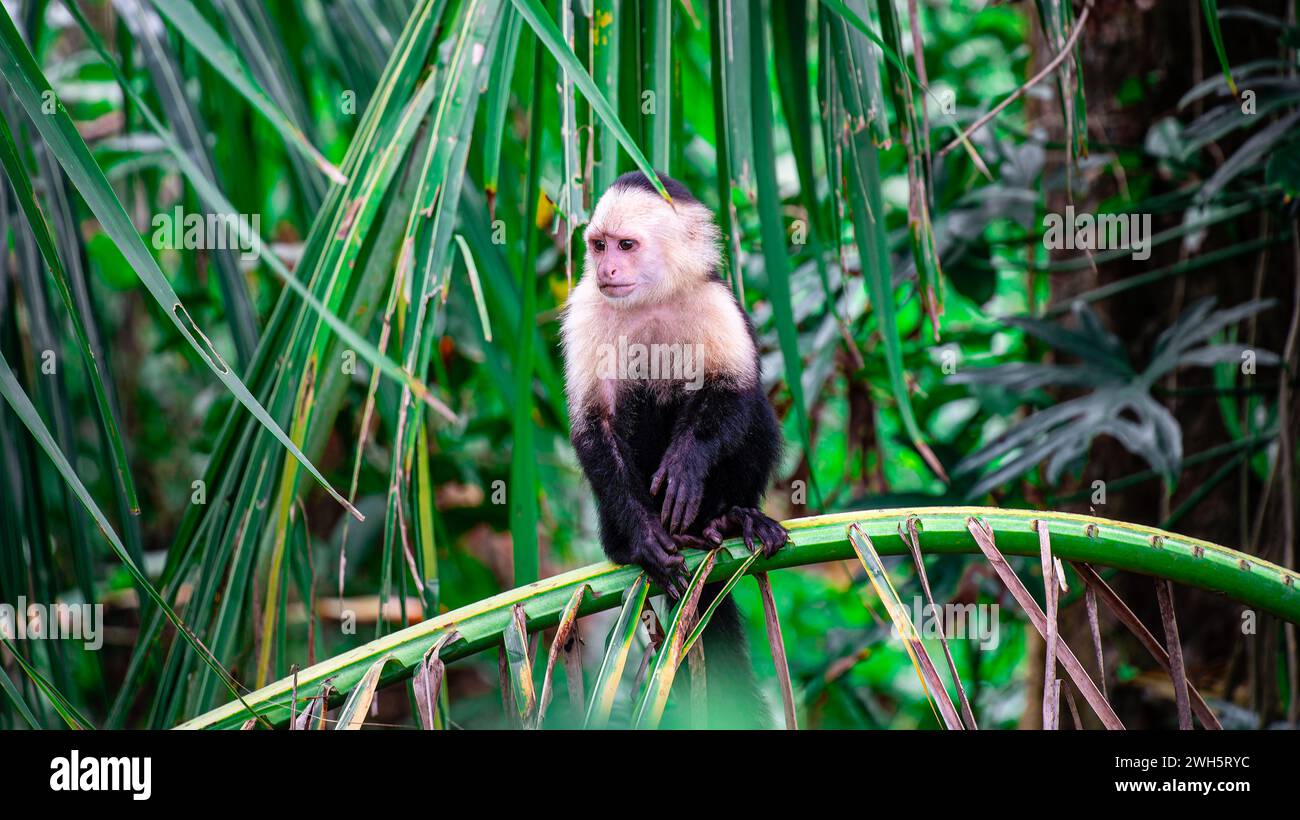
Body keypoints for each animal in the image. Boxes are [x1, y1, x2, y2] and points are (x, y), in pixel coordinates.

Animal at [560, 170, 789, 726]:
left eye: (626, 245)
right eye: (598, 245)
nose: (607, 269)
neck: (649, 299)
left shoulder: (716, 301)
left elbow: (733, 389)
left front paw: (686, 465)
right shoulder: (585, 308)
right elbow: (594, 426)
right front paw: (644, 539)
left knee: (749, 409)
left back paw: (729, 517)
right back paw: (635, 543)